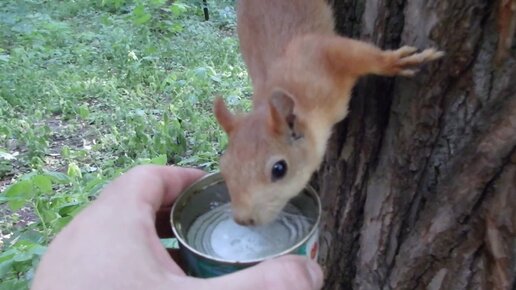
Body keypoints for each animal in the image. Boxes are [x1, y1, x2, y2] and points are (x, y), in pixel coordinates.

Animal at [214, 0, 444, 225]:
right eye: (224, 167)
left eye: (279, 169)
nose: (243, 220)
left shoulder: (319, 54)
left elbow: (354, 52)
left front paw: (394, 62)